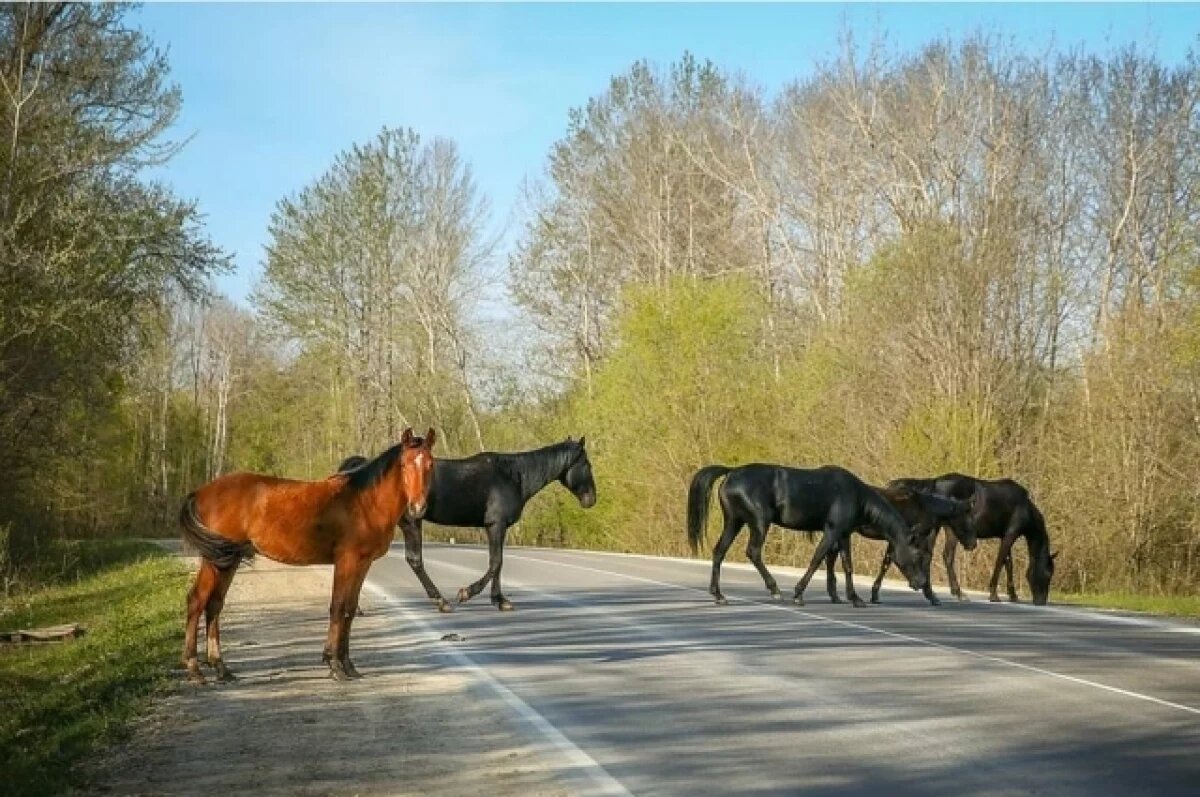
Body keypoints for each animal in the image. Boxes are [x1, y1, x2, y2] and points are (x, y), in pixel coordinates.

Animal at [177, 427, 436, 681]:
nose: (418, 508)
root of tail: (200, 492)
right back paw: (194, 669)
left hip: (228, 560)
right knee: (196, 600)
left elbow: (350, 609)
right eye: (405, 464)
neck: (364, 502)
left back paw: (221, 668)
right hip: (215, 560)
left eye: (430, 464)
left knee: (214, 604)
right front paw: (334, 665)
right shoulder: (347, 561)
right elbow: (338, 607)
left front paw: (348, 665)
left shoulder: (363, 563)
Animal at [338, 439, 595, 612]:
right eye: (587, 464)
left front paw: (499, 600)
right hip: (411, 522)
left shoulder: (495, 527)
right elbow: (495, 563)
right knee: (413, 561)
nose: (591, 499)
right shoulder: (496, 525)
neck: (513, 475)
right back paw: (441, 601)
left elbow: (497, 563)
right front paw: (467, 593)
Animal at [686, 463, 926, 607]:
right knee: (753, 552)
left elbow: (846, 565)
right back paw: (775, 590)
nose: (922, 583)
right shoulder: (832, 531)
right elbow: (817, 559)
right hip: (758, 523)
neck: (855, 496)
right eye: (917, 555)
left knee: (719, 552)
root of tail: (731, 472)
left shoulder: (844, 535)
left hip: (734, 522)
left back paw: (719, 595)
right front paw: (799, 594)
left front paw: (852, 598)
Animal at [820, 482, 979, 607]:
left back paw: (834, 595)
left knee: (831, 556)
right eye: (968, 518)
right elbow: (918, 561)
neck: (925, 508)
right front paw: (931, 595)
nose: (973, 544)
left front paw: (875, 594)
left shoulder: (896, 541)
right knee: (831, 556)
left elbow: (887, 562)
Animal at [888, 472, 1056, 604]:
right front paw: (994, 595)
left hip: (950, 530)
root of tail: (934, 483)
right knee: (929, 554)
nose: (1041, 601)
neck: (1026, 508)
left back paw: (956, 592)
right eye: (1048, 574)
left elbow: (1008, 563)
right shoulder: (1010, 535)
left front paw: (1013, 595)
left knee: (945, 556)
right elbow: (1000, 562)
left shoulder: (1005, 535)